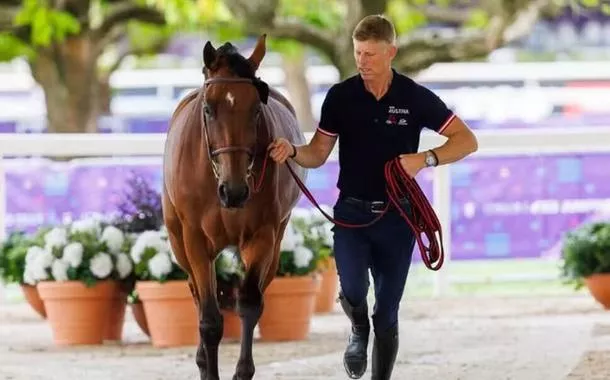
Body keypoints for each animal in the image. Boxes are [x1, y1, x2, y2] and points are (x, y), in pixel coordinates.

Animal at [162, 34, 306, 378]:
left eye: (256, 108)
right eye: (208, 108)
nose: (235, 191)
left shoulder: (263, 235)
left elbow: (251, 303)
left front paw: (243, 370)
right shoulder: (194, 238)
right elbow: (210, 319)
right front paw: (208, 365)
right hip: (178, 240)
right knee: (195, 292)